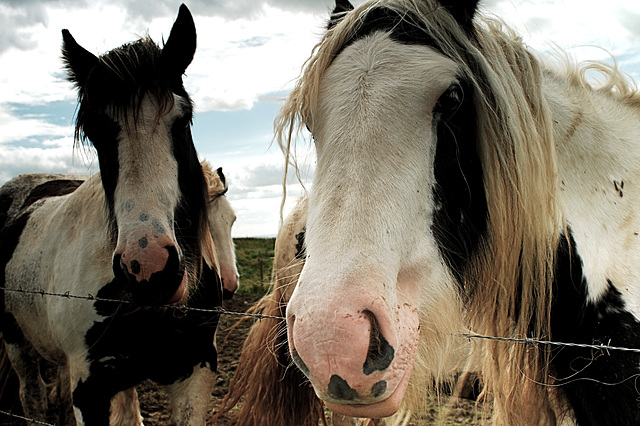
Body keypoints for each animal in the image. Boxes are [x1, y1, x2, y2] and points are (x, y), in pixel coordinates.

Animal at [0, 5, 226, 424]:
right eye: (95, 132)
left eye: (182, 120)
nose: (148, 268)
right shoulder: (90, 388)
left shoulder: (196, 370)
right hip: (16, 343)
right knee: (32, 396)